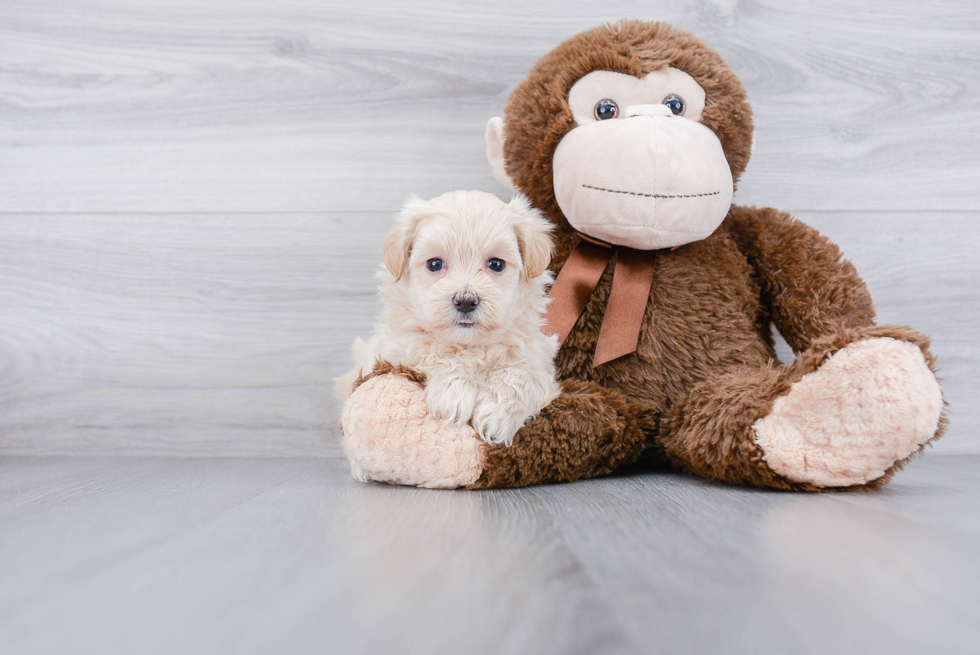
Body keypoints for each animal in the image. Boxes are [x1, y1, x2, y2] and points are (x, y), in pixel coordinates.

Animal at [338, 191, 560, 452]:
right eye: (435, 264)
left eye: (496, 264)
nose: (465, 301)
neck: (470, 346)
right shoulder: (396, 348)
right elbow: (434, 351)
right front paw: (453, 394)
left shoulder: (538, 356)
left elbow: (522, 373)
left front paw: (496, 414)